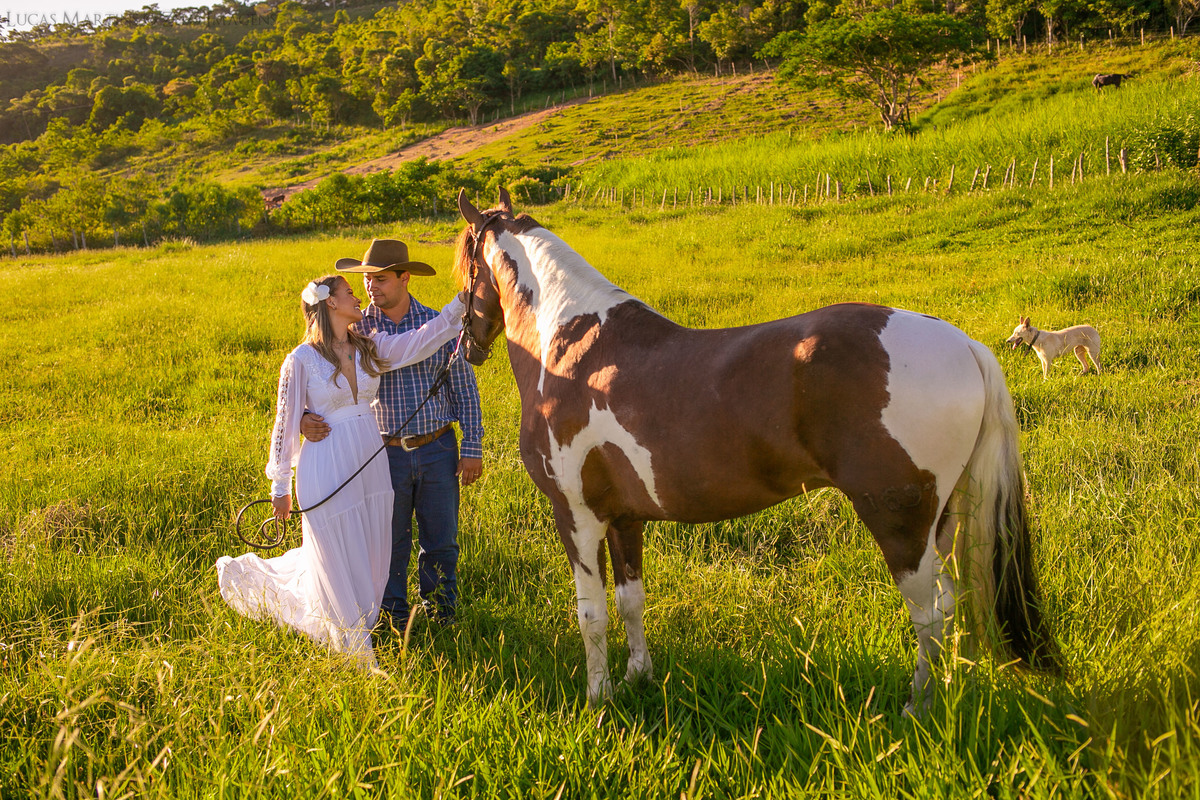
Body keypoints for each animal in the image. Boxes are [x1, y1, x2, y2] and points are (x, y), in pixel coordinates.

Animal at [453, 188, 1061, 712]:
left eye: (465, 265)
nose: (468, 344)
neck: (570, 348)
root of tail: (963, 343)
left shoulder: (576, 516)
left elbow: (591, 614)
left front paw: (598, 697)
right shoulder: (625, 516)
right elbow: (631, 601)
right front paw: (636, 677)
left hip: (900, 524)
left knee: (929, 613)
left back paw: (920, 705)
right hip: (944, 520)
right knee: (951, 603)